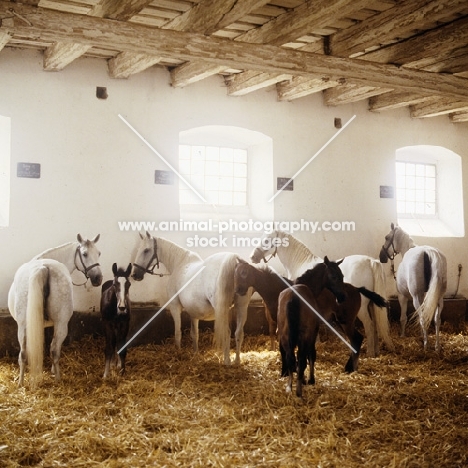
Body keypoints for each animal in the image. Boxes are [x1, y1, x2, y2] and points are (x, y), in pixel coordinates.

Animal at [7, 234, 103, 388]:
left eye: (98, 253)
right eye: (84, 254)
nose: (98, 279)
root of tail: (43, 268)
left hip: (24, 326)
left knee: (25, 353)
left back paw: (22, 382)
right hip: (59, 324)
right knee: (52, 350)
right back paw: (55, 379)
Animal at [132, 234, 252, 366]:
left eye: (146, 250)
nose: (134, 275)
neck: (179, 264)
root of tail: (234, 261)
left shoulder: (175, 307)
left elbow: (178, 333)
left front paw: (178, 352)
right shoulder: (194, 312)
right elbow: (195, 334)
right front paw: (196, 354)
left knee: (226, 332)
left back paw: (227, 361)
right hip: (242, 306)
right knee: (238, 333)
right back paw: (237, 361)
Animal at [250, 232, 394, 356]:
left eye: (267, 240)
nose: (252, 257)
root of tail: (371, 261)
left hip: (362, 308)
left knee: (369, 326)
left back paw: (369, 353)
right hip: (372, 305)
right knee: (375, 325)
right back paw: (376, 352)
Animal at [380, 223, 446, 352]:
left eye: (386, 237)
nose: (382, 257)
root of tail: (428, 251)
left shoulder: (402, 296)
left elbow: (403, 318)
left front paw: (402, 335)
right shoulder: (425, 296)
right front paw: (421, 334)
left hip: (415, 298)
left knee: (423, 319)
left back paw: (426, 346)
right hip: (438, 298)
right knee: (437, 320)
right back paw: (437, 346)